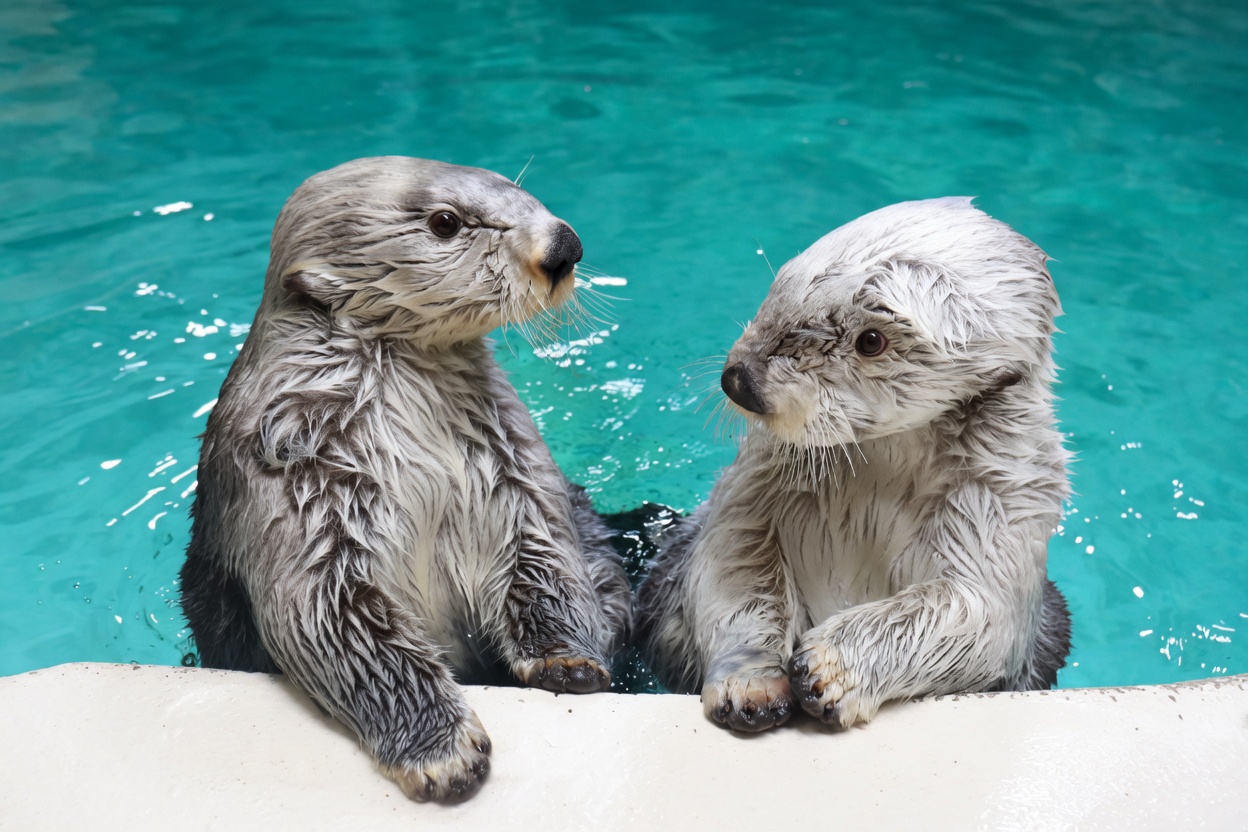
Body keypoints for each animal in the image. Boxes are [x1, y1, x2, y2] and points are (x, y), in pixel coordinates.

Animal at [180, 157, 631, 801]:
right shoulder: (287, 486)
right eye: (446, 222)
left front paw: (567, 662)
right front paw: (442, 751)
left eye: (519, 190)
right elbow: (333, 620)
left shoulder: (513, 466)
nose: (563, 246)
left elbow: (544, 553)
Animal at [638, 197, 1071, 733]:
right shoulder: (756, 483)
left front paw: (828, 669)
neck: (882, 470)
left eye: (871, 341)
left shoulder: (1001, 505)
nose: (738, 379)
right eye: (779, 291)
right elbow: (732, 564)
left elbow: (974, 611)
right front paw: (752, 685)